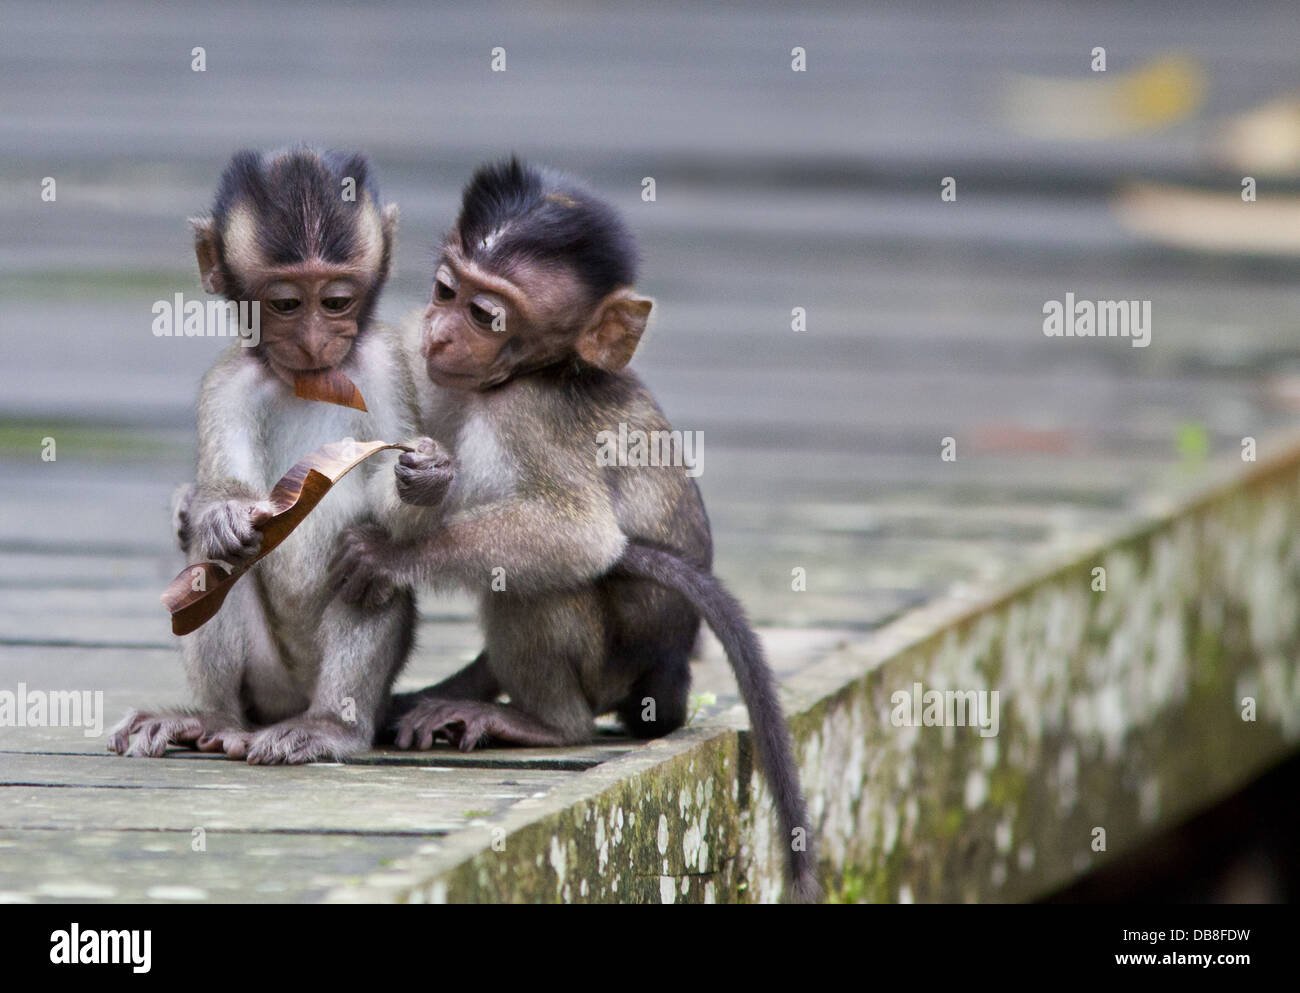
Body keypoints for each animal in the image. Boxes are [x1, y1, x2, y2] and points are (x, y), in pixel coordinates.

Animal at [106, 147, 431, 764]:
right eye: (285, 304)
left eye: (336, 302)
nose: (313, 343)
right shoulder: (227, 381)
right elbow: (223, 501)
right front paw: (221, 516)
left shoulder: (385, 362)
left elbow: (390, 496)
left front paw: (425, 481)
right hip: (266, 680)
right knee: (215, 563)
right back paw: (212, 720)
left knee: (366, 566)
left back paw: (330, 727)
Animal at [330, 157, 816, 899]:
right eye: (446, 290)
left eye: (485, 315)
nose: (441, 333)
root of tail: (669, 676)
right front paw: (415, 482)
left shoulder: (526, 410)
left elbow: (580, 535)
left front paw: (388, 554)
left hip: (610, 671)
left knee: (540, 582)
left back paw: (544, 723)